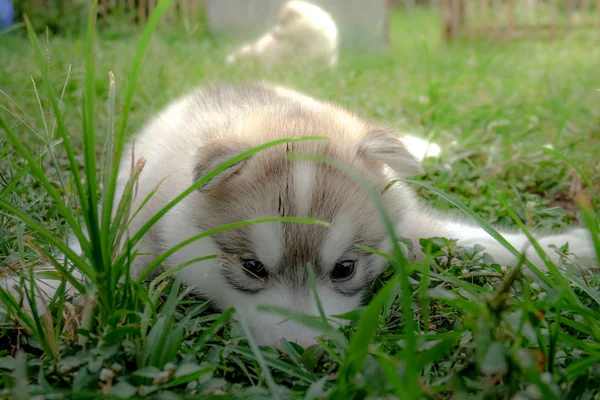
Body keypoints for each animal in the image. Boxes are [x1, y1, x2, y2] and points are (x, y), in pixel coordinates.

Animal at [2, 82, 596, 346]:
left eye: (345, 269)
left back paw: (429, 145)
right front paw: (25, 291)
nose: (306, 352)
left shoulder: (408, 221)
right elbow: (86, 264)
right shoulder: (139, 217)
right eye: (252, 269)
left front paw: (572, 248)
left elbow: (484, 239)